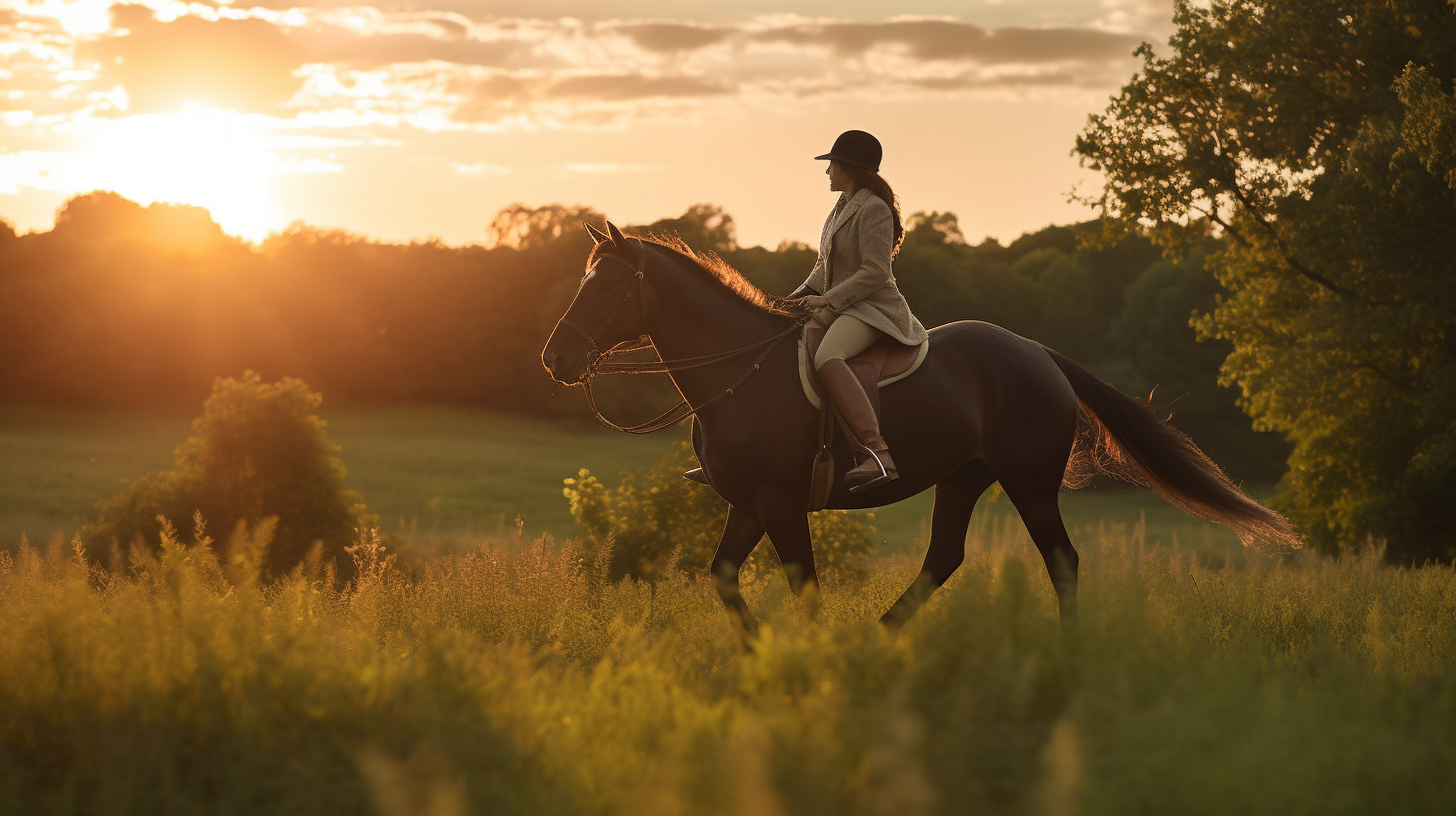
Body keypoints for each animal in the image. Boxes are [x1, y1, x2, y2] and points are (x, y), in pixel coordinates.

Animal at [544, 222, 1298, 638]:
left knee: (1062, 560)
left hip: (1028, 482)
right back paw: (882, 634)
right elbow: (725, 579)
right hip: (963, 478)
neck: (742, 373)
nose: (556, 359)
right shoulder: (749, 504)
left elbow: (803, 586)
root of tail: (1038, 353)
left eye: (604, 286)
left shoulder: (783, 505)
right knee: (944, 558)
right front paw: (762, 652)